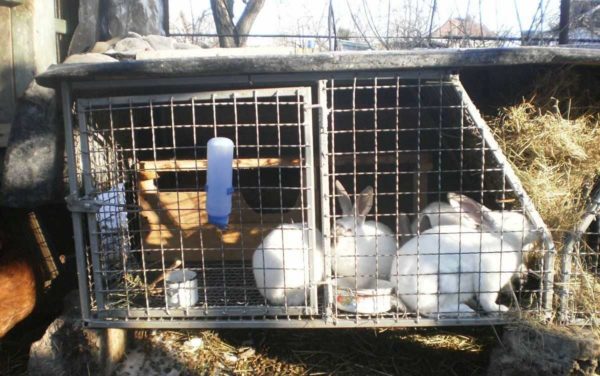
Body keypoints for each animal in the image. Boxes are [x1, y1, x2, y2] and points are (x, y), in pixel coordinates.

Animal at [392, 194, 536, 318]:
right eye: (516, 222)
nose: (534, 229)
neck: (503, 240)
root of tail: (398, 288)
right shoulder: (488, 279)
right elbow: (487, 301)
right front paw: (501, 309)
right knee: (429, 310)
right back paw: (466, 311)